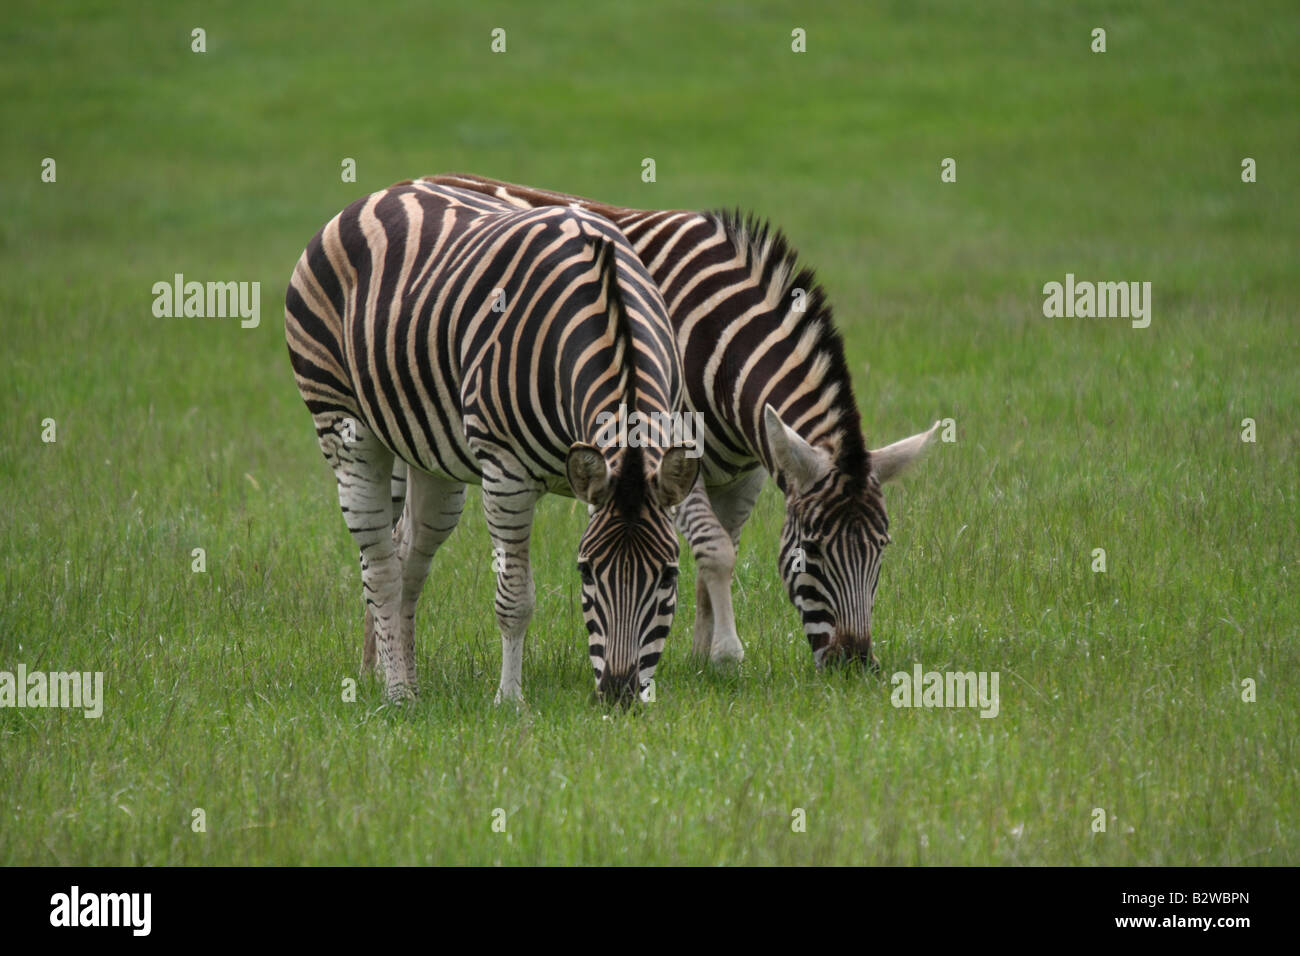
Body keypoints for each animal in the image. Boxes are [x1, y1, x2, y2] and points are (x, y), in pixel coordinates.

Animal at [284, 180, 702, 702]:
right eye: (585, 571)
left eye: (669, 574)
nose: (618, 695)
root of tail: (381, 193)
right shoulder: (507, 476)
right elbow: (515, 599)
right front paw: (510, 701)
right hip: (344, 425)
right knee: (379, 565)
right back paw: (398, 694)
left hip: (431, 455)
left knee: (408, 559)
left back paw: (408, 678)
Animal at [421, 178, 941, 671]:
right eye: (810, 550)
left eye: (882, 548)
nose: (854, 665)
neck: (718, 347)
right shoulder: (676, 458)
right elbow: (717, 551)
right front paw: (726, 653)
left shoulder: (746, 473)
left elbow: (718, 553)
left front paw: (699, 657)